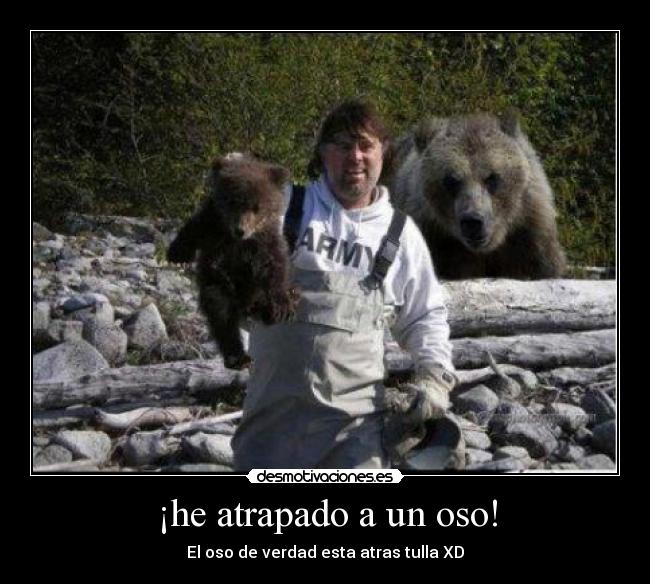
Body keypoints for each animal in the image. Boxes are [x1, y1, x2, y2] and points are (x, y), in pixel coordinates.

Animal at [167, 154, 299, 369]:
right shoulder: (212, 223)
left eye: (257, 207)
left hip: (255, 294)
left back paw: (275, 309)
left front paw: (282, 305)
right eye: (233, 202)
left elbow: (275, 265)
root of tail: (244, 308)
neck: (237, 241)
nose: (240, 230)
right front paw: (177, 252)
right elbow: (192, 229)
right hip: (220, 286)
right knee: (222, 317)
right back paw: (238, 357)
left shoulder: (265, 241)